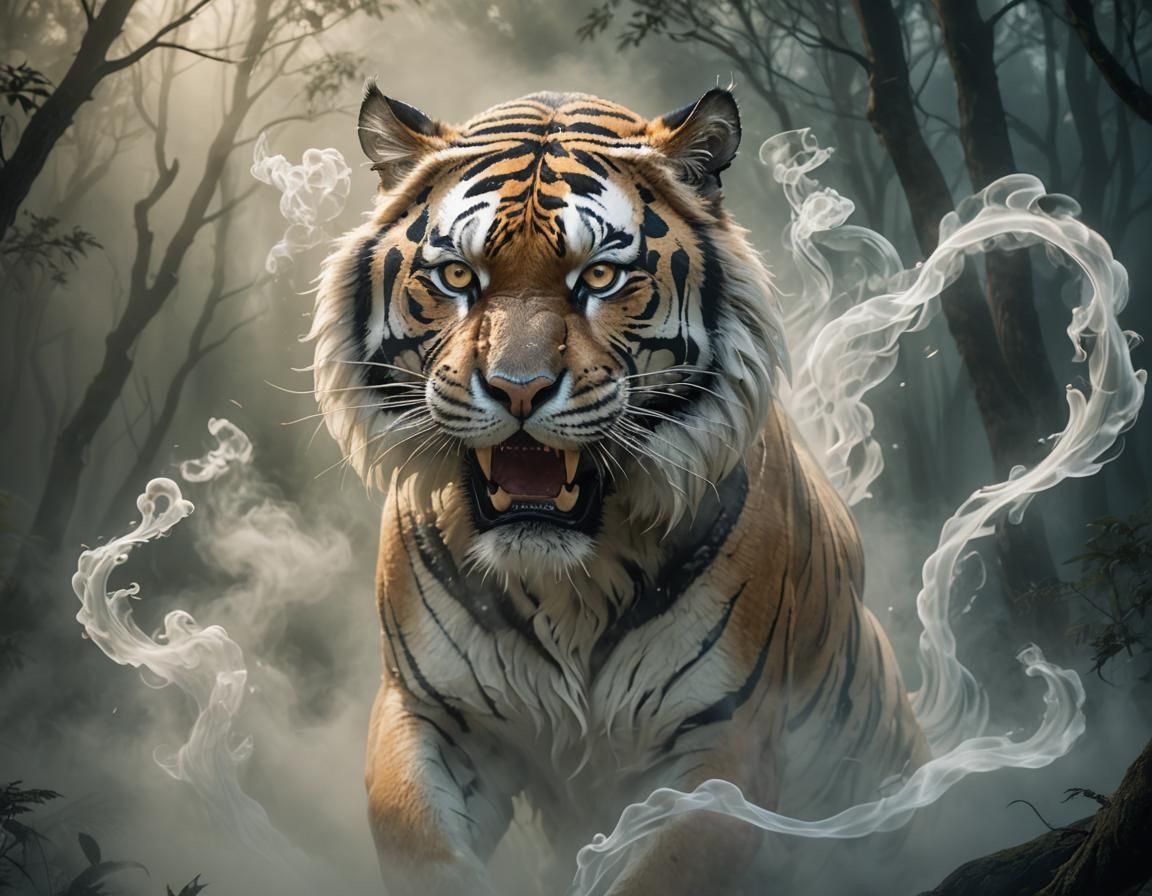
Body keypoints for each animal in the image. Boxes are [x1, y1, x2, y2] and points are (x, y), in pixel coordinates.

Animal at [309, 84, 931, 895]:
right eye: (459, 277)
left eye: (599, 279)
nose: (517, 388)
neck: (566, 583)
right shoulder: (427, 711)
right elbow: (421, 845)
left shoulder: (722, 742)